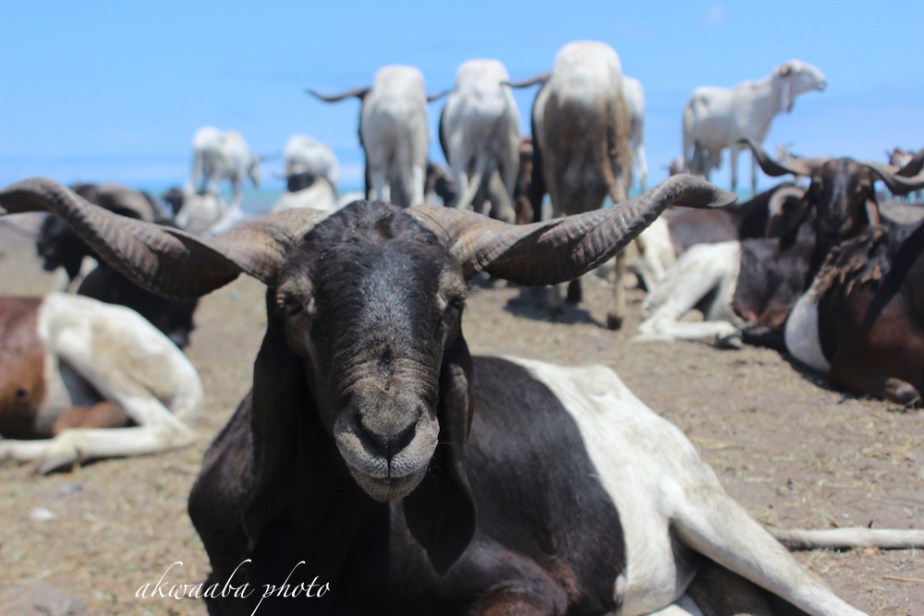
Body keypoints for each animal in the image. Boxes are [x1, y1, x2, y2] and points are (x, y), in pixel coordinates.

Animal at [307, 65, 439, 208]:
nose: (358, 133)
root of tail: (401, 108)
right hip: (418, 140)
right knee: (417, 175)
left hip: (378, 148)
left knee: (378, 174)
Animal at [682, 60, 827, 193]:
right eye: (799, 72)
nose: (823, 81)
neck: (761, 104)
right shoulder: (734, 145)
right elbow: (734, 179)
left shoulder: (757, 144)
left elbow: (754, 179)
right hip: (688, 139)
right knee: (687, 165)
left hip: (708, 145)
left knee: (704, 167)